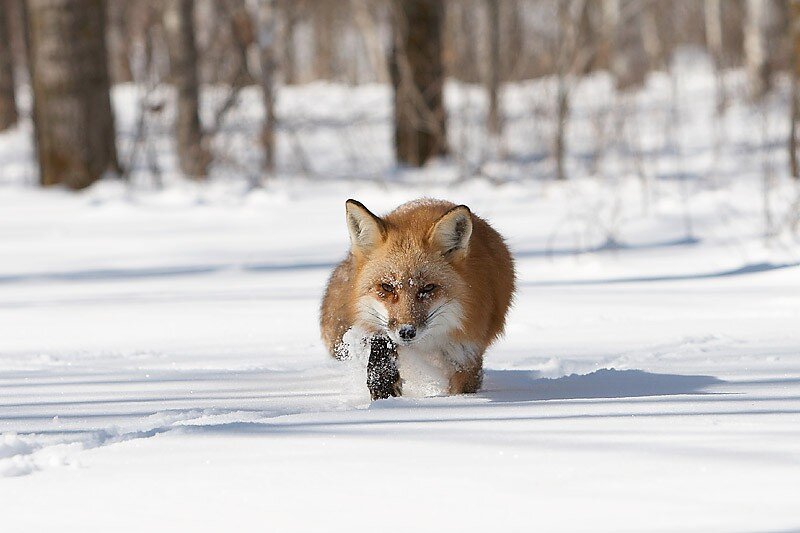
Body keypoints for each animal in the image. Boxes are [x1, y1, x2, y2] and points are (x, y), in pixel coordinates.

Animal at [322, 197, 516, 396]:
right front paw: (383, 382)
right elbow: (381, 341)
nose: (406, 331)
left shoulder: (467, 354)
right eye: (387, 287)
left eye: (428, 288)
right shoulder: (376, 326)